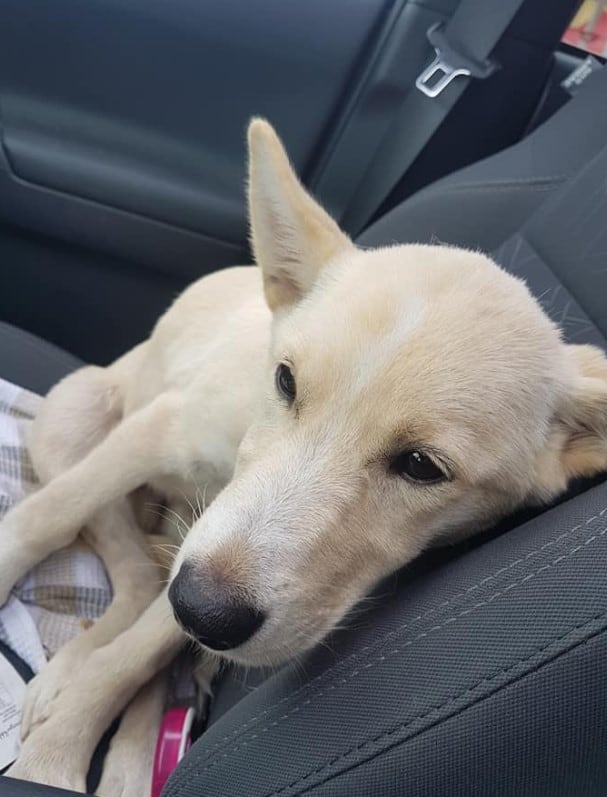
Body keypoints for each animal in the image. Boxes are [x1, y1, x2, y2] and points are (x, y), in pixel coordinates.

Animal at [1, 119, 607, 796]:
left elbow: (145, 647)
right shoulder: (163, 437)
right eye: (286, 381)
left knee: (142, 582)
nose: (205, 611)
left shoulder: (207, 556)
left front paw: (54, 759)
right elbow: (46, 517)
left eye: (423, 466)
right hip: (72, 420)